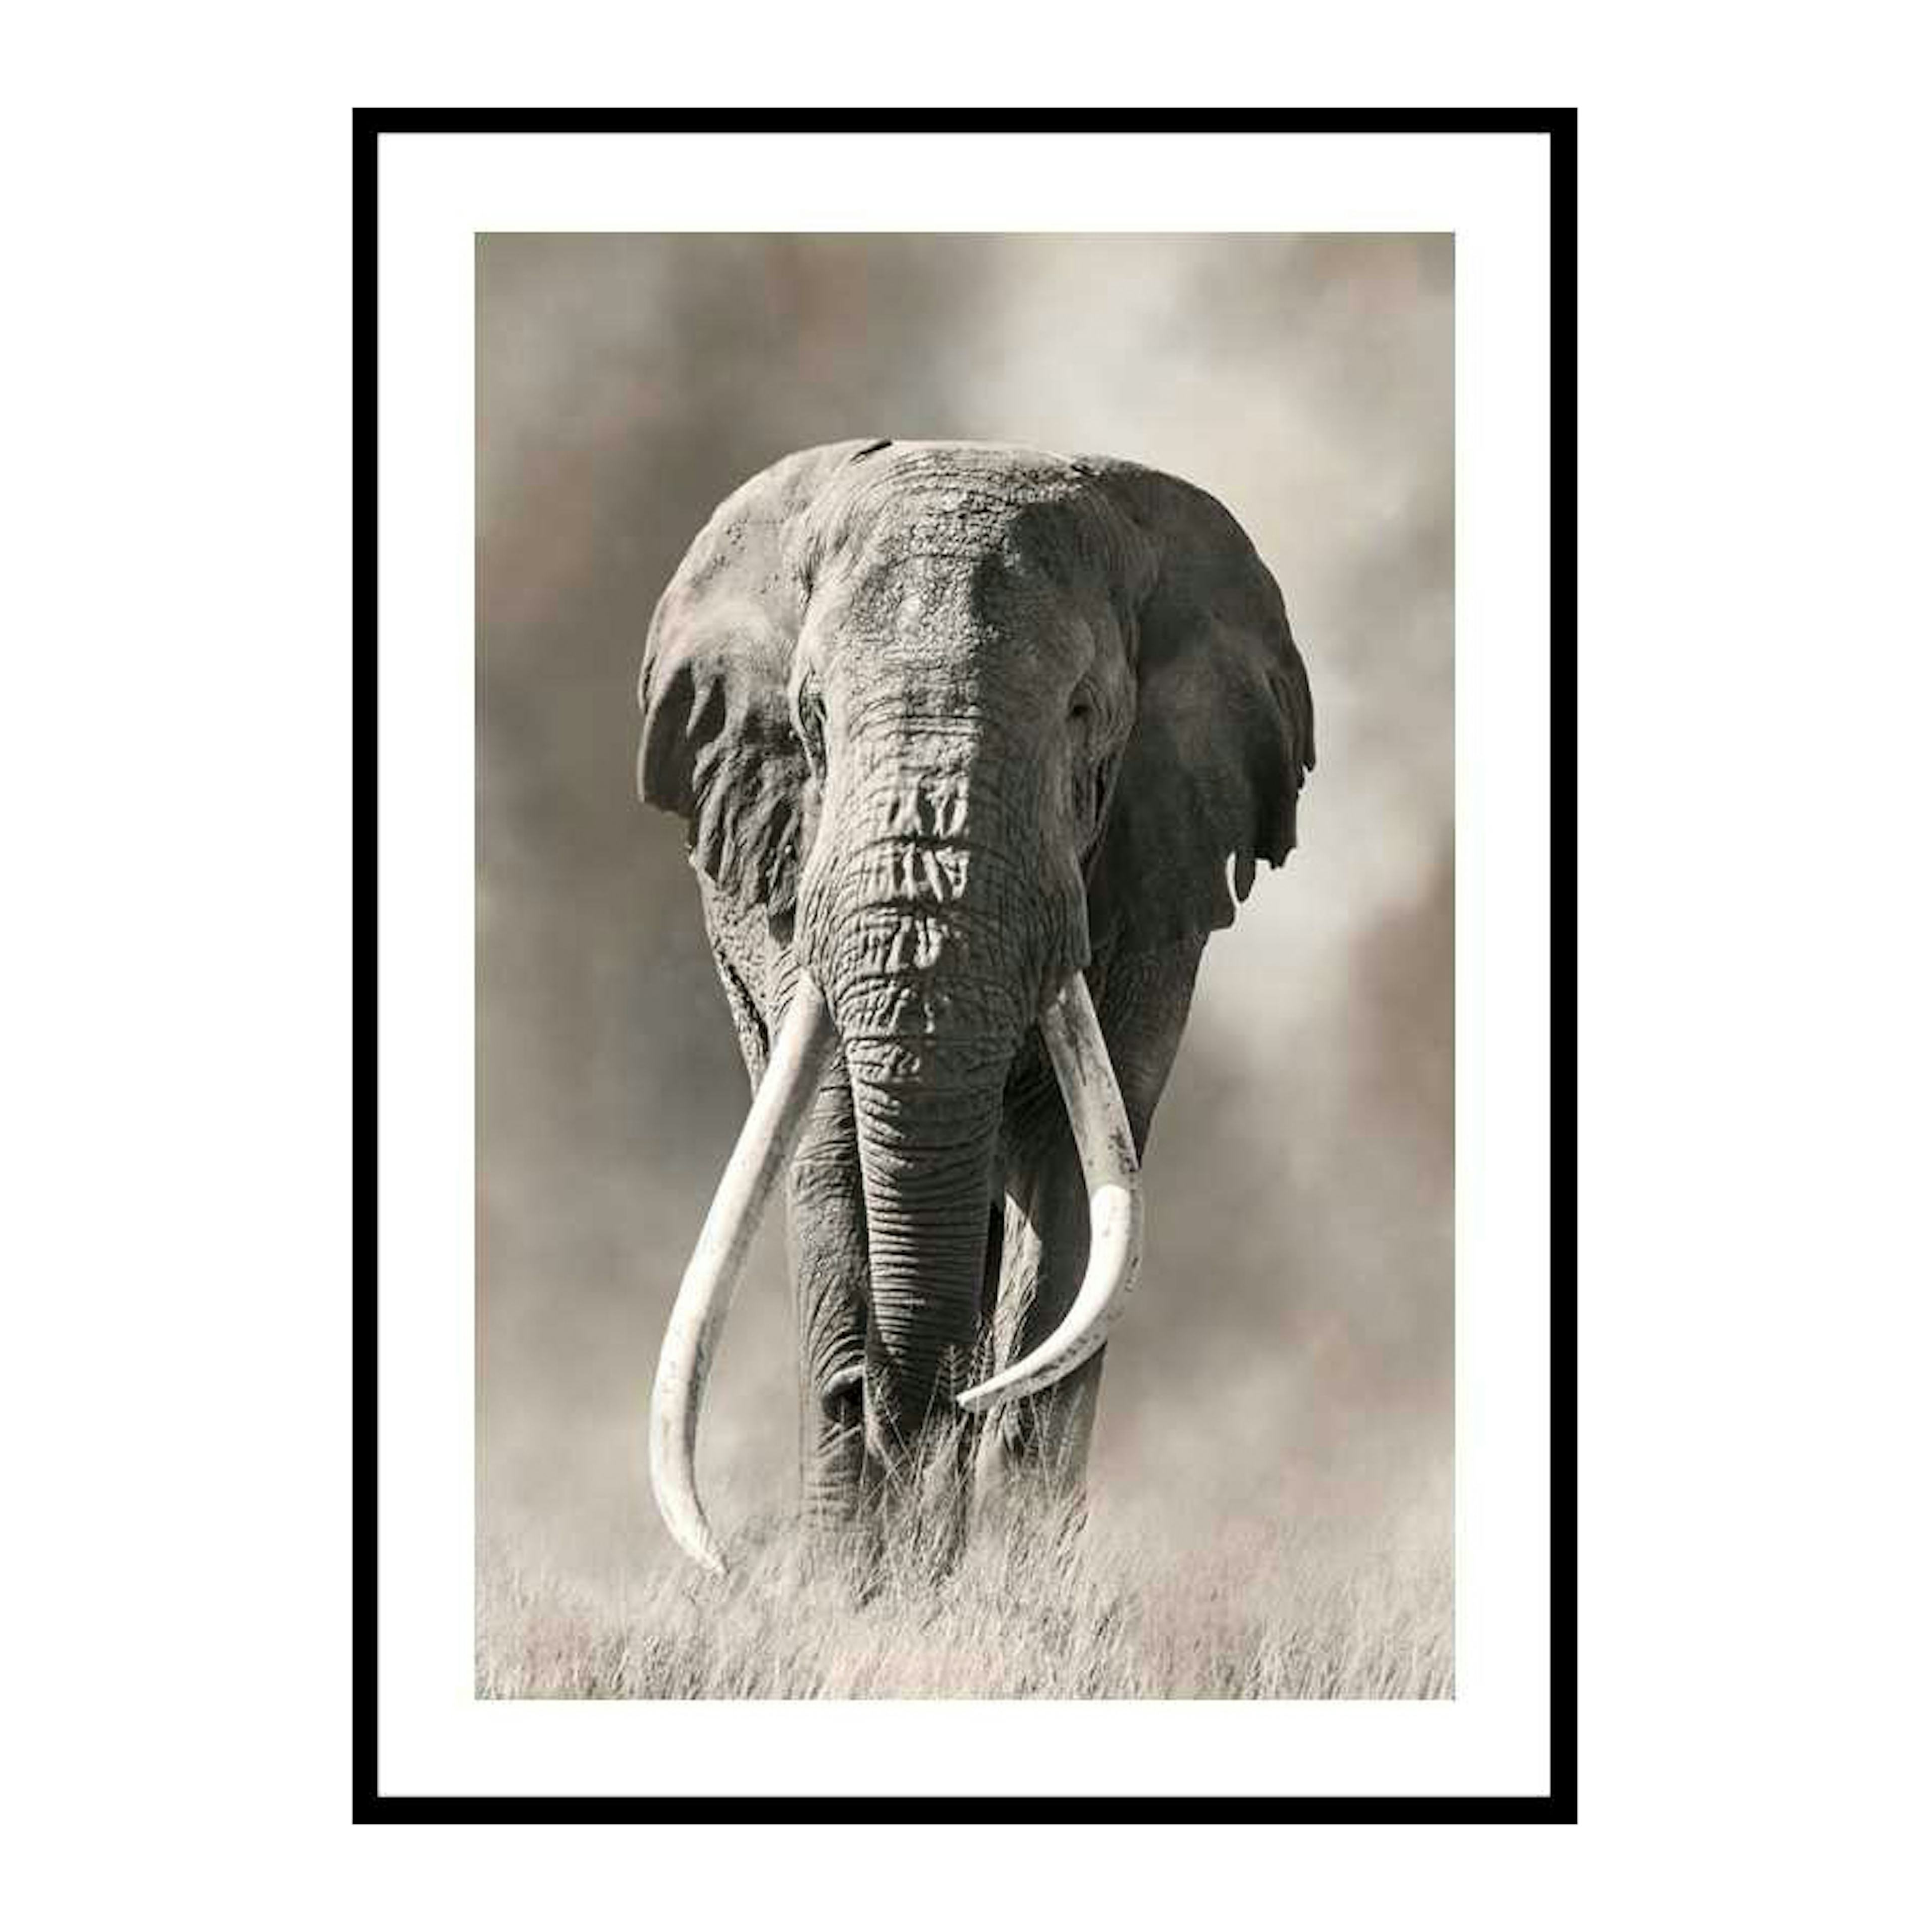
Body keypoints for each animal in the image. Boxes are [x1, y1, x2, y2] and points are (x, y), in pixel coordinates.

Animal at [637, 439, 1314, 1575]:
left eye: (1084, 717)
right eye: (813, 721)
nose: (885, 1399)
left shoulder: (1153, 875)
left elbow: (1082, 1182)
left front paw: (1010, 1577)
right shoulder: (793, 874)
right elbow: (830, 1151)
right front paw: (852, 1583)